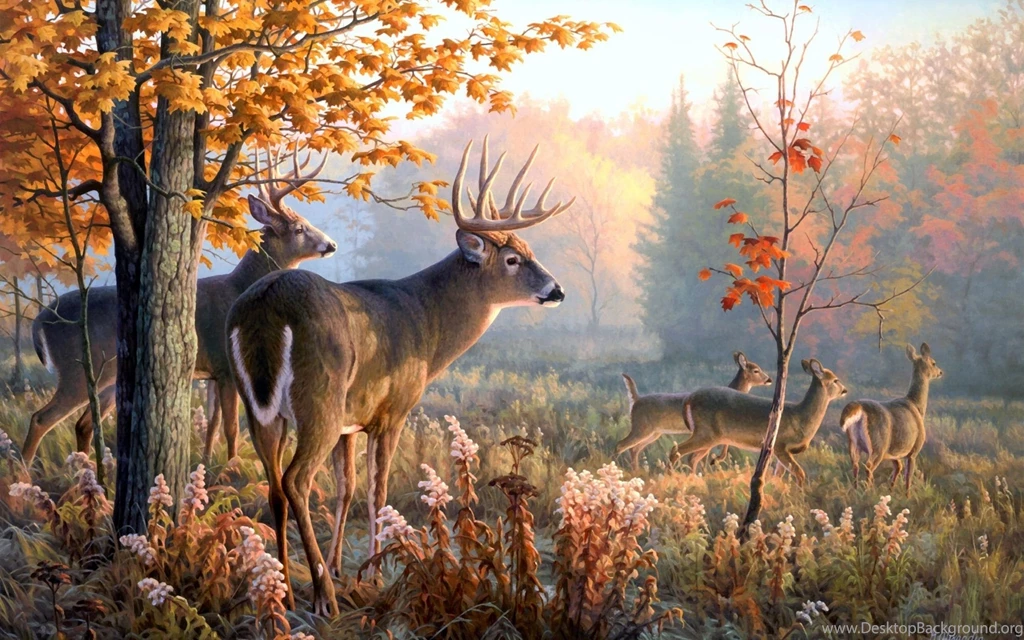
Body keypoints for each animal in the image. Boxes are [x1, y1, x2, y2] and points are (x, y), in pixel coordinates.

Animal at [23, 148, 334, 465]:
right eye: (299, 228)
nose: (331, 244)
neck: (240, 287)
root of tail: (39, 321)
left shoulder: (212, 371)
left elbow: (212, 424)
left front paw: (208, 462)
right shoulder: (226, 366)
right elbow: (231, 426)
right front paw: (233, 464)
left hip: (107, 377)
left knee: (82, 424)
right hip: (77, 368)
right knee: (41, 418)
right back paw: (24, 471)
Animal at [227, 138, 573, 616]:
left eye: (530, 250)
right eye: (512, 258)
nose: (557, 290)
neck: (424, 325)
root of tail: (265, 306)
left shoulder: (352, 421)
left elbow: (347, 488)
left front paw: (343, 567)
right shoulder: (392, 410)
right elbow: (378, 490)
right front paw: (371, 575)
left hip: (261, 409)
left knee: (276, 486)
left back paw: (286, 591)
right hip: (319, 398)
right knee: (297, 481)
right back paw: (323, 597)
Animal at [616, 352, 772, 469]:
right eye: (756, 370)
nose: (769, 380)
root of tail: (636, 400)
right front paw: (713, 462)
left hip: (654, 433)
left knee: (634, 448)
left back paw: (636, 471)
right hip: (642, 427)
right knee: (621, 445)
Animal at [669, 358, 848, 486]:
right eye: (835, 380)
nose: (845, 390)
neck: (801, 417)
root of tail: (689, 399)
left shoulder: (782, 452)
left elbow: (778, 476)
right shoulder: (779, 445)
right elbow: (800, 473)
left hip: (710, 438)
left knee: (691, 457)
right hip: (705, 433)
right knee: (676, 450)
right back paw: (670, 478)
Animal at [841, 342, 942, 491]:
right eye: (933, 363)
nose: (940, 372)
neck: (917, 406)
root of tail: (859, 408)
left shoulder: (894, 453)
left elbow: (898, 468)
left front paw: (891, 490)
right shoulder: (914, 450)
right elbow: (908, 477)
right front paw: (906, 494)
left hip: (853, 443)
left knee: (855, 465)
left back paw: (856, 490)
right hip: (878, 444)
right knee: (869, 466)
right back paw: (868, 491)